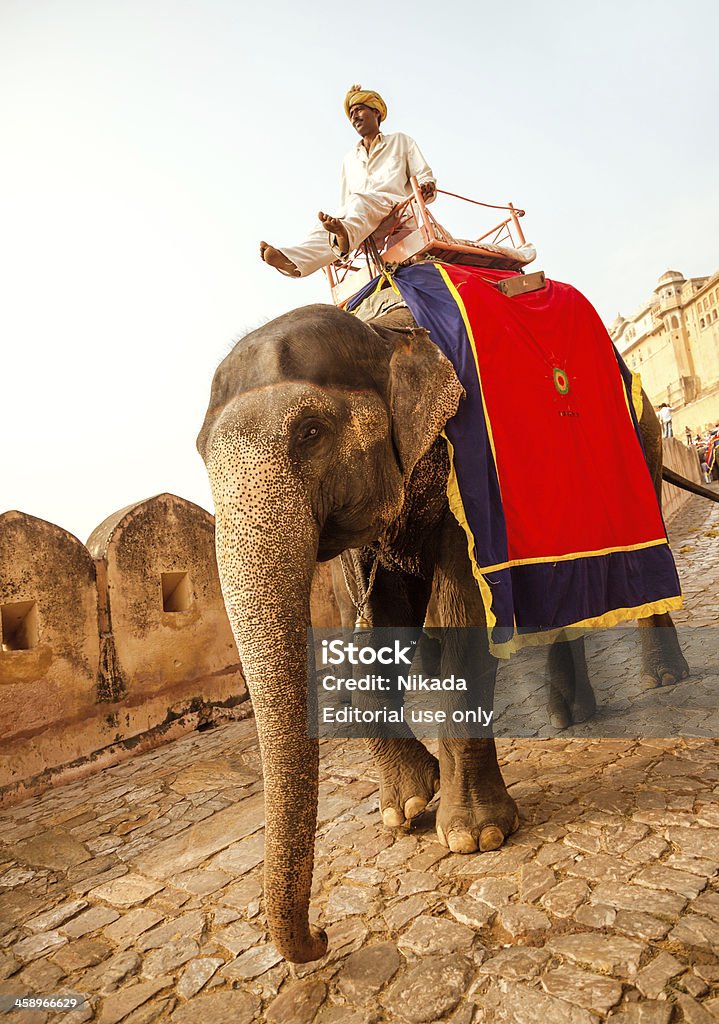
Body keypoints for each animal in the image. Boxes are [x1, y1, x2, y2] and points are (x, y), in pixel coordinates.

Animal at [195, 299, 688, 962]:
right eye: (202, 456)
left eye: (310, 433)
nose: (322, 937)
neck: (386, 336)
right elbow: (367, 630)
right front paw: (403, 809)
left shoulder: (467, 463)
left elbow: (462, 615)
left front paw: (475, 837)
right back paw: (569, 715)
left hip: (643, 443)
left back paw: (662, 680)